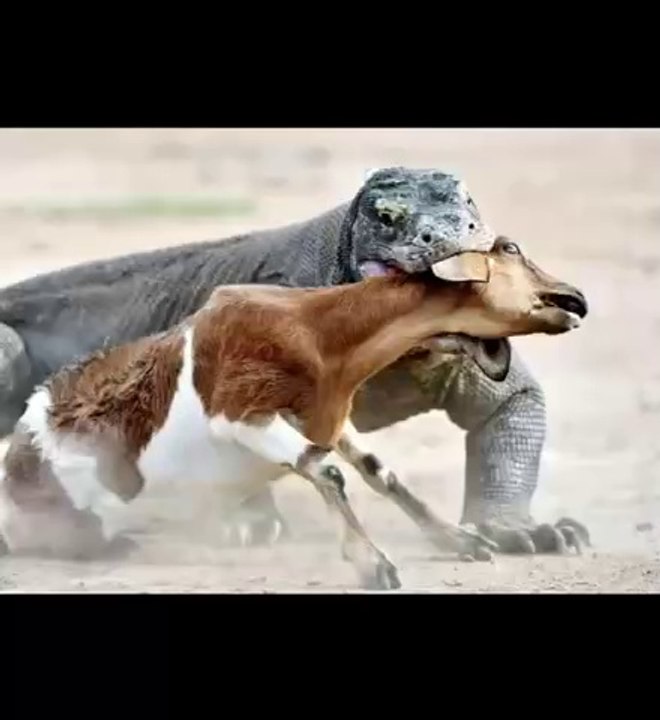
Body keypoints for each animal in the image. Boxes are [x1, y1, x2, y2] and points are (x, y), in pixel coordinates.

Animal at [0, 236, 587, 590]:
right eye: (509, 248)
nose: (575, 297)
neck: (318, 330)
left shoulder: (327, 419)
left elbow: (378, 473)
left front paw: (459, 540)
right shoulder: (242, 414)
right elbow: (325, 471)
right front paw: (375, 565)